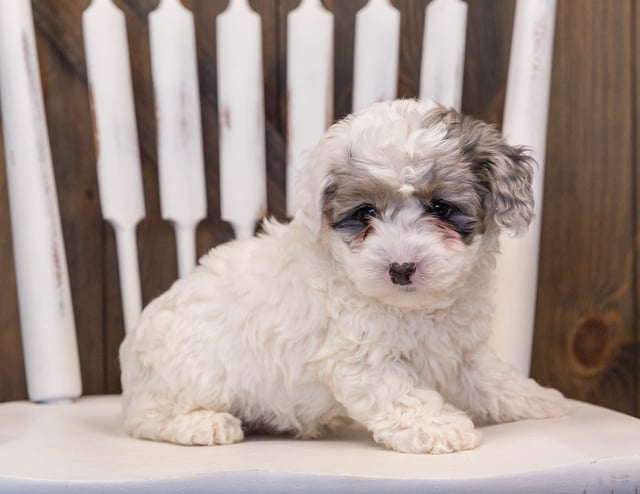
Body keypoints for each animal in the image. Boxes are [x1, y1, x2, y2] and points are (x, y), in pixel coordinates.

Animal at [120, 98, 568, 454]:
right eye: (365, 212)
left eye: (441, 208)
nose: (400, 268)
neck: (412, 309)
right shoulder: (361, 358)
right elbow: (401, 394)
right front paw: (439, 428)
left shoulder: (461, 351)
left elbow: (491, 378)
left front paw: (539, 400)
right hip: (192, 376)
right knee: (147, 417)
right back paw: (203, 423)